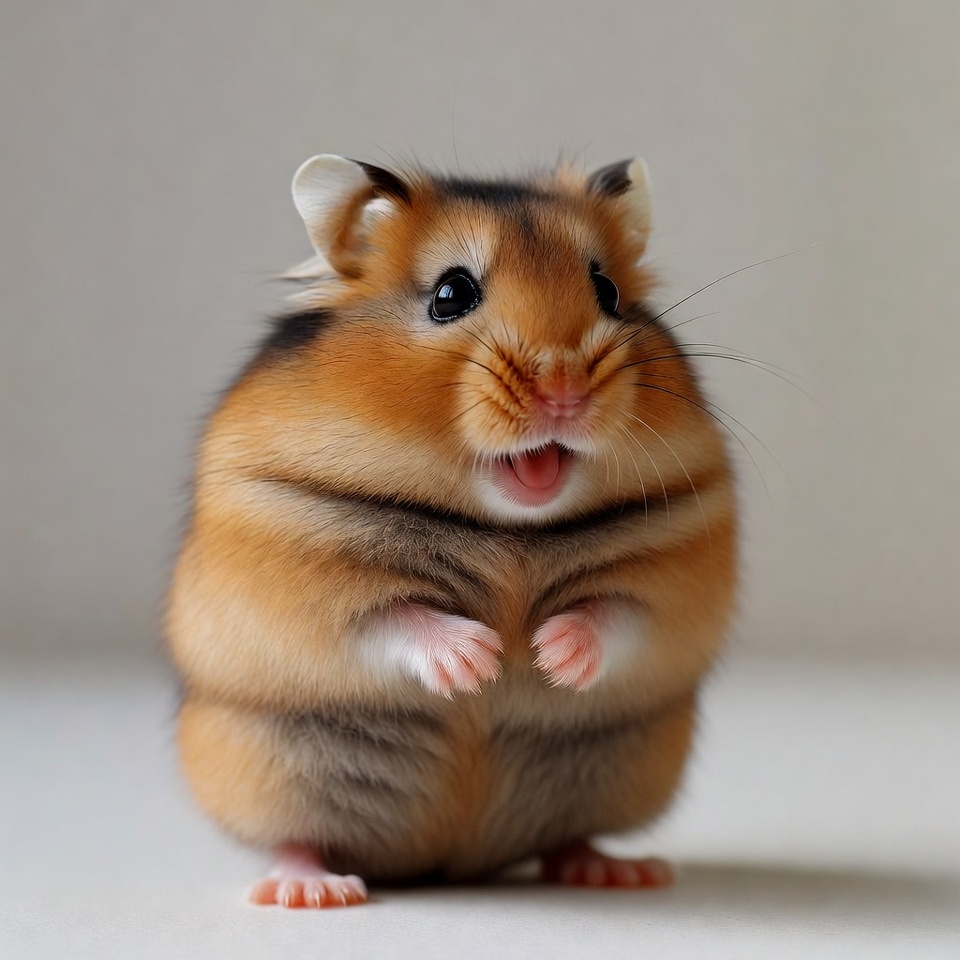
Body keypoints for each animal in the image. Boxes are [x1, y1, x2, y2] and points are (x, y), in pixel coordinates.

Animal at [166, 154, 737, 908]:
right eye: (450, 293)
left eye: (608, 289)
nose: (564, 391)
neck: (508, 529)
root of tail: (450, 862)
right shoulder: (300, 582)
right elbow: (395, 618)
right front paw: (482, 661)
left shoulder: (678, 577)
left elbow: (613, 614)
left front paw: (548, 656)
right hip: (273, 771)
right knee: (296, 838)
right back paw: (311, 891)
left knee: (567, 839)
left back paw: (620, 871)